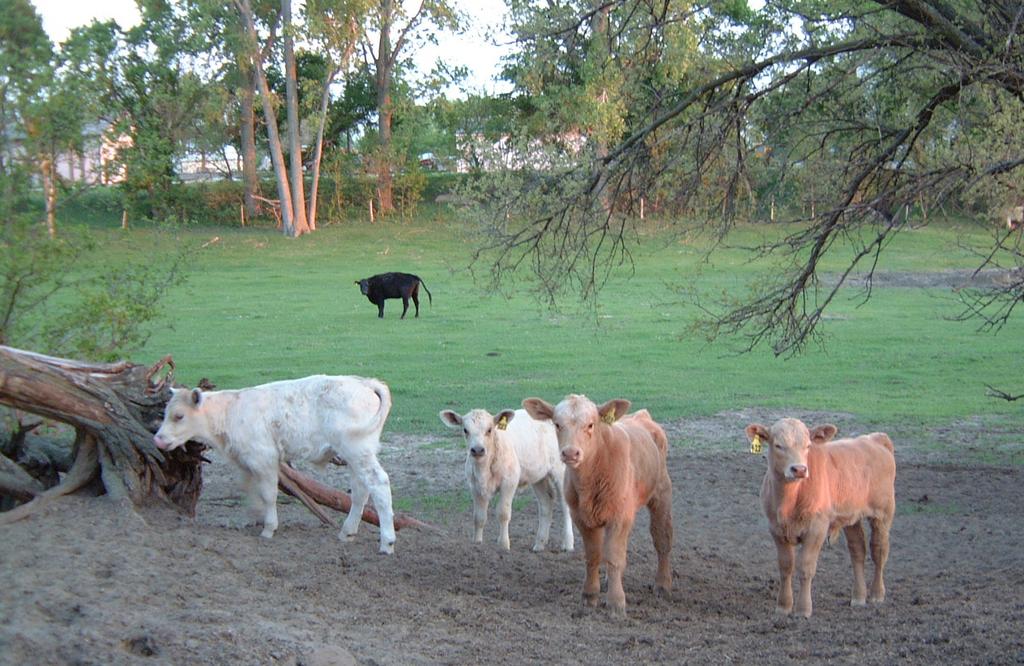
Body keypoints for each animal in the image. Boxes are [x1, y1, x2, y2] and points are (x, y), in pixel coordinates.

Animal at [154, 375, 397, 554]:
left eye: (179, 416)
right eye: (165, 413)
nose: (158, 439)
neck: (229, 411)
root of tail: (364, 383)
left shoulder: (264, 459)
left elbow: (268, 494)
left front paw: (269, 528)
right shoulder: (245, 463)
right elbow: (250, 491)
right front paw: (252, 519)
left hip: (357, 450)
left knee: (379, 483)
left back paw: (387, 542)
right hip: (357, 455)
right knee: (360, 490)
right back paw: (347, 532)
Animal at [439, 407, 573, 552]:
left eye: (489, 429)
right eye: (465, 430)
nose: (477, 450)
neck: (483, 470)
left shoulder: (509, 482)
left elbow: (503, 513)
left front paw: (503, 544)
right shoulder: (474, 486)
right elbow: (479, 517)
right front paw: (477, 543)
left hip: (560, 470)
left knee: (565, 505)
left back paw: (568, 543)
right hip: (538, 475)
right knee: (546, 503)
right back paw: (539, 544)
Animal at [523, 395, 673, 615]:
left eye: (590, 424)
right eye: (557, 424)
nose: (570, 453)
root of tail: (641, 416)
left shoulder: (620, 517)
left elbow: (615, 557)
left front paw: (616, 602)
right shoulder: (581, 517)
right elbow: (594, 555)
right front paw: (589, 596)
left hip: (661, 494)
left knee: (662, 539)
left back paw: (662, 584)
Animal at [745, 418, 896, 618]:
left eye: (808, 446)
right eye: (778, 445)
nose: (799, 469)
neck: (790, 499)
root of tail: (875, 439)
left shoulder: (817, 528)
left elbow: (806, 567)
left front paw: (803, 609)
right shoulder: (775, 529)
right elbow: (785, 566)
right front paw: (783, 606)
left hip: (883, 513)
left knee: (879, 550)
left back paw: (877, 594)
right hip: (851, 517)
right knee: (858, 550)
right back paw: (858, 597)